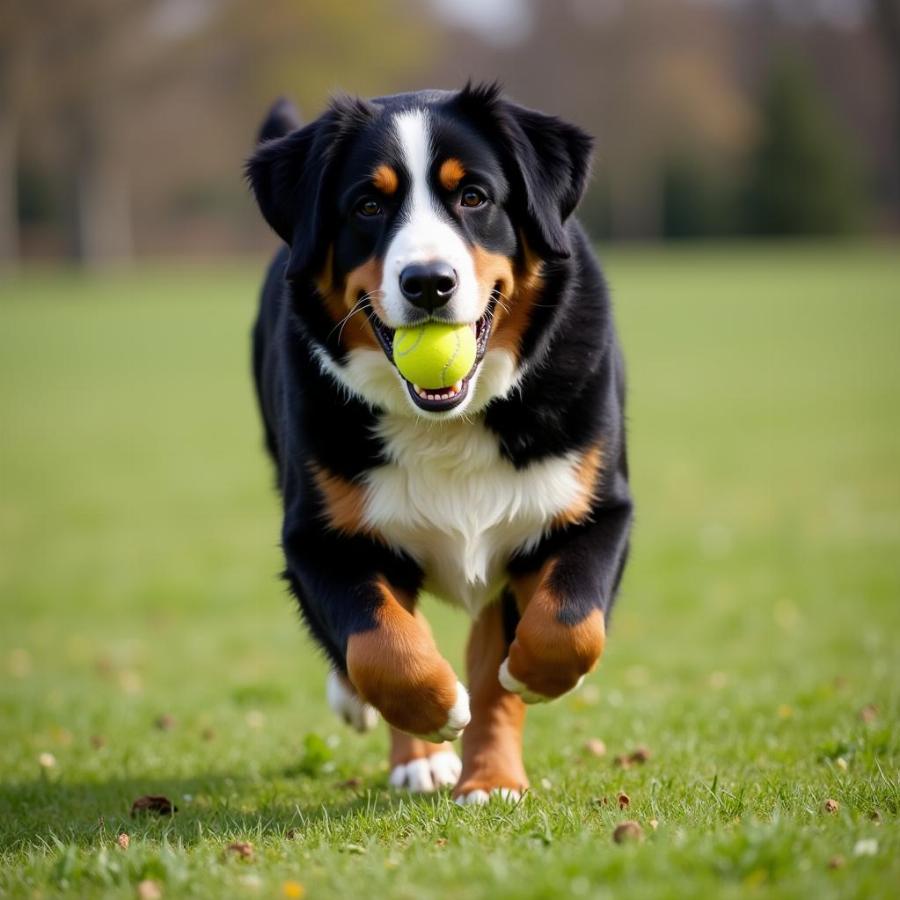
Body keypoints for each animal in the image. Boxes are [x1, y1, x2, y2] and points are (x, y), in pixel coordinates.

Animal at [246, 84, 632, 800]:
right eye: (368, 205)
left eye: (473, 196)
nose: (428, 281)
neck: (448, 424)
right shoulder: (322, 539)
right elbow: (379, 644)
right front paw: (431, 711)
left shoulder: (589, 510)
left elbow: (565, 627)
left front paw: (503, 748)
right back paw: (406, 745)